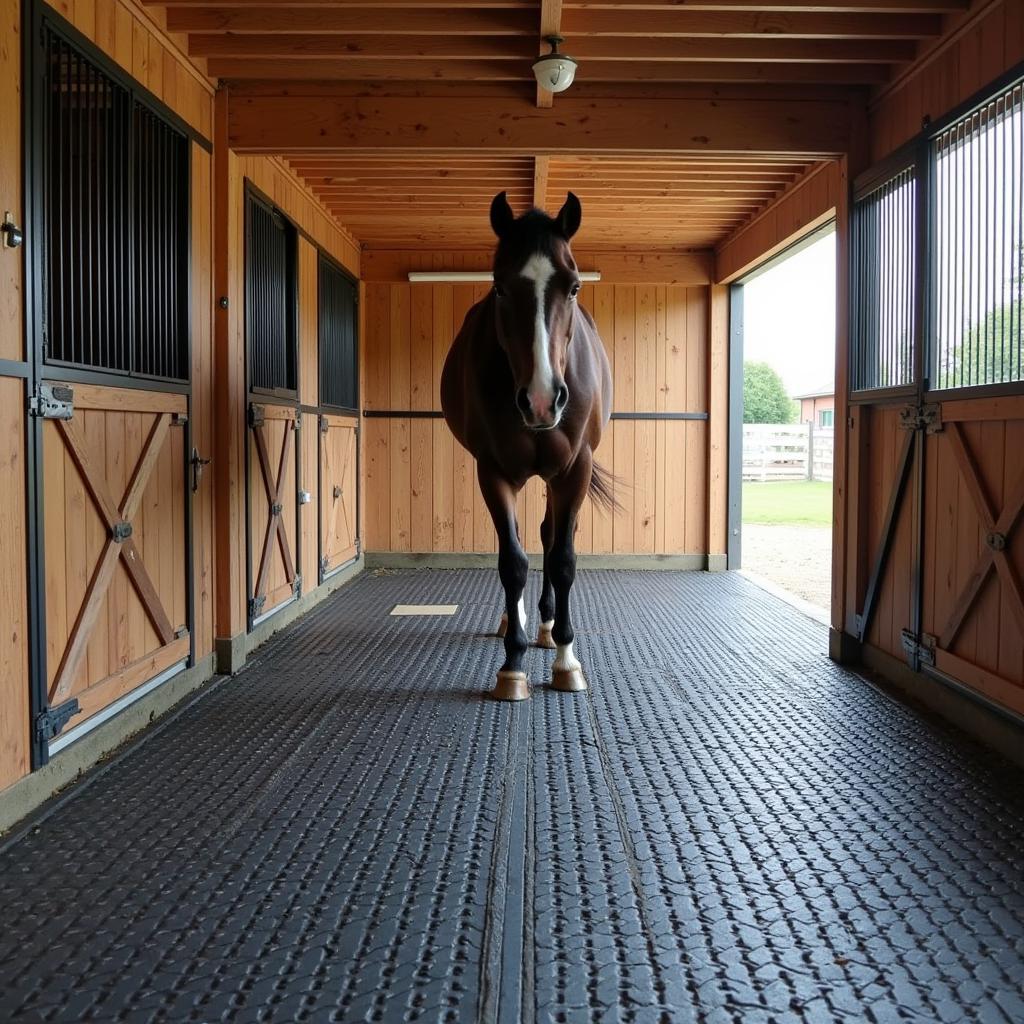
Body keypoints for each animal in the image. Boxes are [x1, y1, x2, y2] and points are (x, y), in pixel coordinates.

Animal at [440, 190, 614, 704]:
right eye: (499, 287)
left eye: (573, 288)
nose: (541, 400)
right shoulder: (493, 470)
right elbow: (512, 562)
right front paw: (512, 665)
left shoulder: (573, 470)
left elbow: (563, 558)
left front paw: (566, 659)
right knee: (516, 541)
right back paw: (513, 620)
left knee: (548, 535)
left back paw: (547, 626)